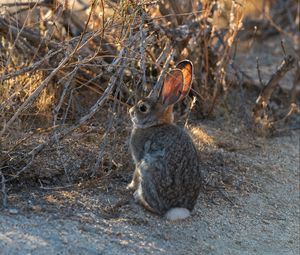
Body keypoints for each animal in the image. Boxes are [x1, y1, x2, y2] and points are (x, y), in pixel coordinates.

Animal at [127, 60, 202, 221]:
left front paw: (130, 186)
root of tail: (176, 210)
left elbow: (135, 174)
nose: (130, 112)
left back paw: (138, 197)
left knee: (156, 208)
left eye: (143, 108)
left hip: (148, 168)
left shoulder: (138, 159)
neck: (155, 124)